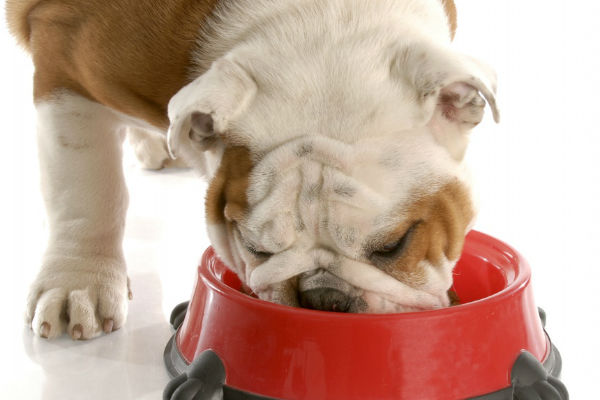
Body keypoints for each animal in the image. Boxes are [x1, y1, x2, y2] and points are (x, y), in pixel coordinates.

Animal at [7, 0, 500, 340]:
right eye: (254, 247)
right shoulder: (64, 73)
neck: (320, 23)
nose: (323, 297)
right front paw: (80, 284)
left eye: (395, 244)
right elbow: (86, 188)